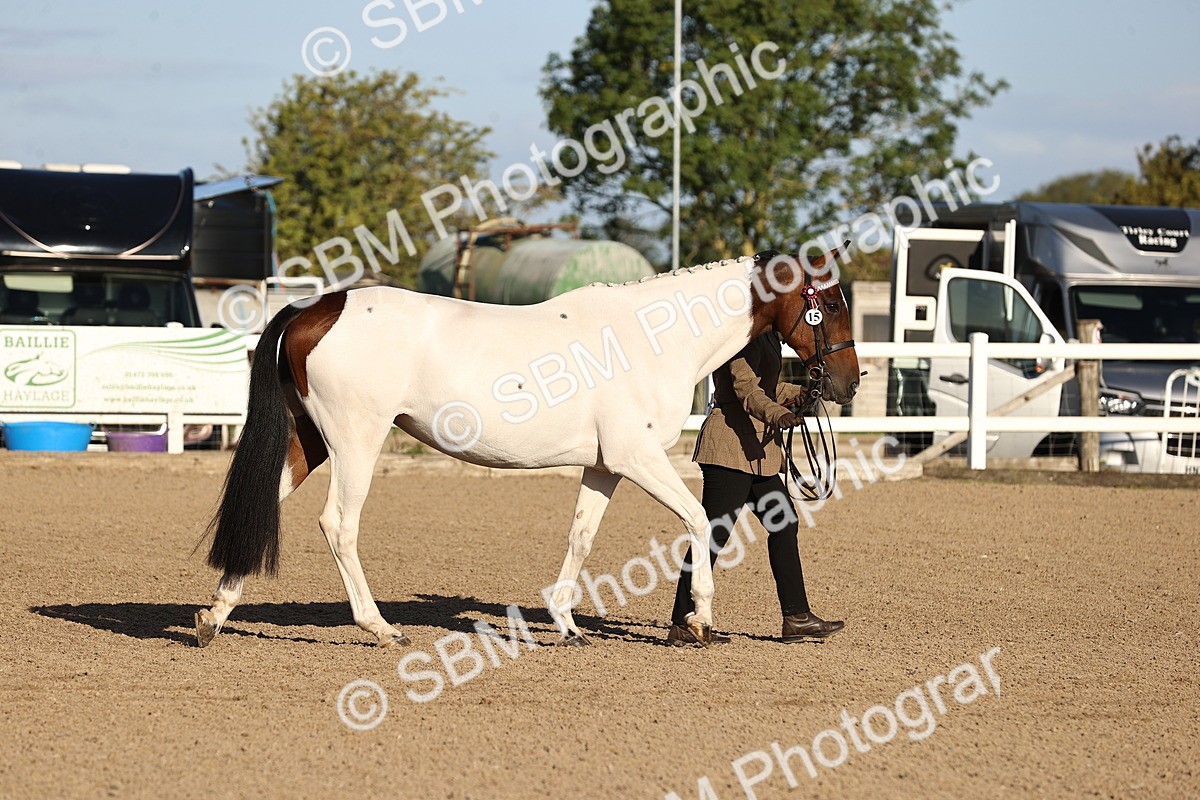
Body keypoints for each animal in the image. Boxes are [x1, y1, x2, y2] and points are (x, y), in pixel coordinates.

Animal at [195, 248, 860, 648]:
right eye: (826, 303)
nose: (848, 384)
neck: (652, 336)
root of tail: (317, 306)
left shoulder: (604, 467)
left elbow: (581, 536)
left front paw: (567, 624)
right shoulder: (638, 459)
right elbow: (699, 518)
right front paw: (699, 620)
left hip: (311, 439)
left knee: (263, 504)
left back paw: (213, 617)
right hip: (356, 438)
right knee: (339, 524)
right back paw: (380, 627)